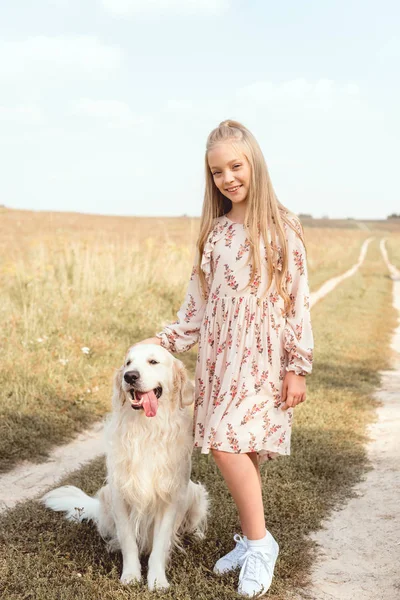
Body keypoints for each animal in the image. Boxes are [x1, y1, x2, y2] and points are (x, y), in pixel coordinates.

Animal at [40, 342, 209, 592]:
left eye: (153, 361)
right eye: (128, 363)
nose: (130, 376)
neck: (146, 428)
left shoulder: (169, 496)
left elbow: (160, 545)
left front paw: (157, 580)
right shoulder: (120, 494)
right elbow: (128, 541)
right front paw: (130, 576)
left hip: (194, 491)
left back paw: (196, 534)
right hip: (106, 494)